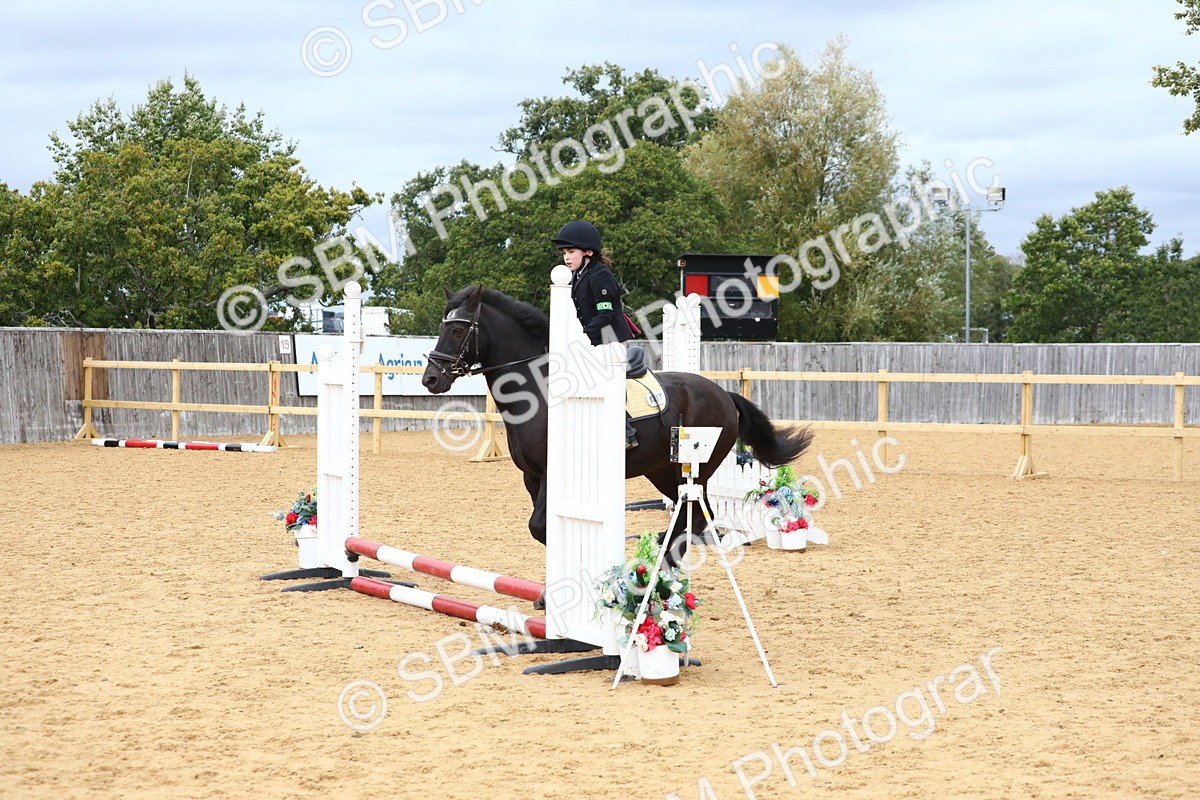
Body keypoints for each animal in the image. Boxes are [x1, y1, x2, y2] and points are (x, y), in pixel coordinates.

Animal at [421, 284, 812, 565]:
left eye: (458, 330)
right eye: (443, 327)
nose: (430, 379)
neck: (537, 391)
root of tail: (723, 395)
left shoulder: (551, 475)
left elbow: (542, 526)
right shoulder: (531, 477)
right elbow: (544, 531)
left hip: (694, 469)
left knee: (697, 517)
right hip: (662, 470)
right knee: (687, 516)